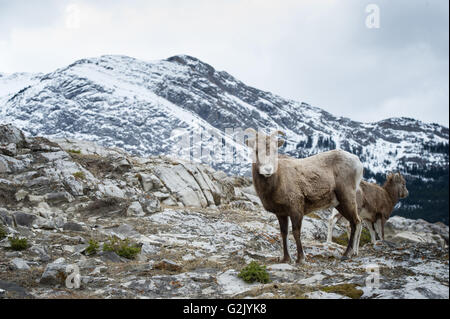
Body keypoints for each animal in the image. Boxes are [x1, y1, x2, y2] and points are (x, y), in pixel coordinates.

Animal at [244, 129, 364, 264]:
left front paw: (300, 258)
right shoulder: (281, 214)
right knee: (357, 222)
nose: (268, 169)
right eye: (256, 150)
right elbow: (284, 233)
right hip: (340, 204)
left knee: (355, 222)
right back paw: (353, 253)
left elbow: (296, 232)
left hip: (347, 199)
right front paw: (286, 259)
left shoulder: (296, 210)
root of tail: (357, 161)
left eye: (275, 151)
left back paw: (346, 254)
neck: (278, 181)